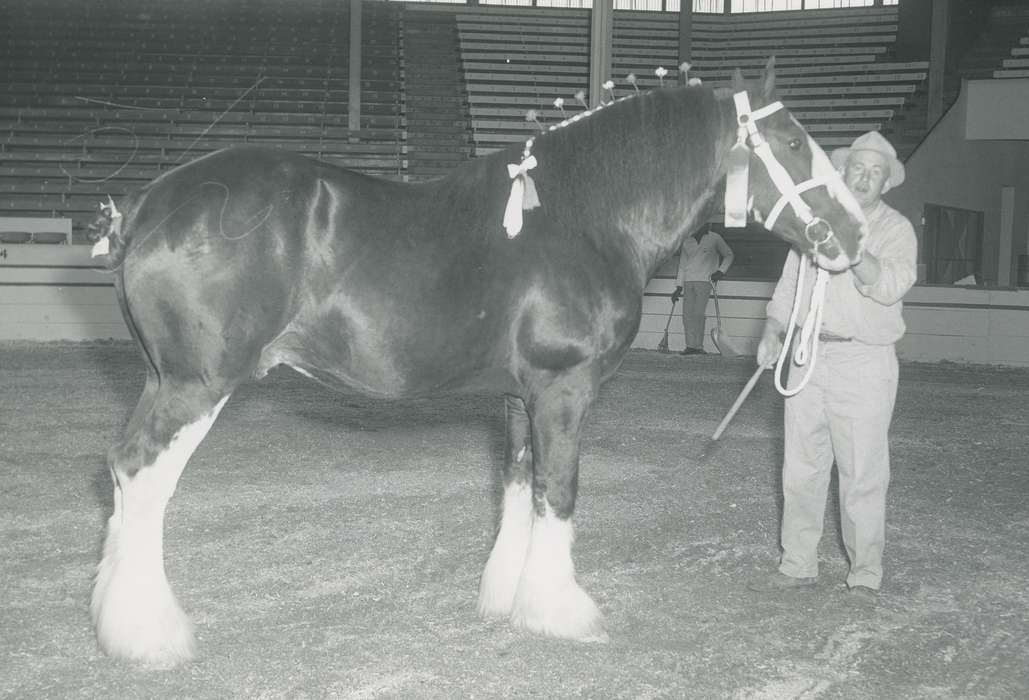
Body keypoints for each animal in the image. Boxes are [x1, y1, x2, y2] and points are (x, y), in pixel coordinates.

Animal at [88, 61, 867, 668]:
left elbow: (520, 486)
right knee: (143, 475)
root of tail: (147, 205)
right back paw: (149, 636)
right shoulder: (562, 389)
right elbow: (559, 492)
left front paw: (508, 601)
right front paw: (564, 614)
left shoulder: (520, 396)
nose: (854, 234)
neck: (584, 217)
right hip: (196, 385)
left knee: (122, 470)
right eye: (793, 141)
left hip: (162, 380)